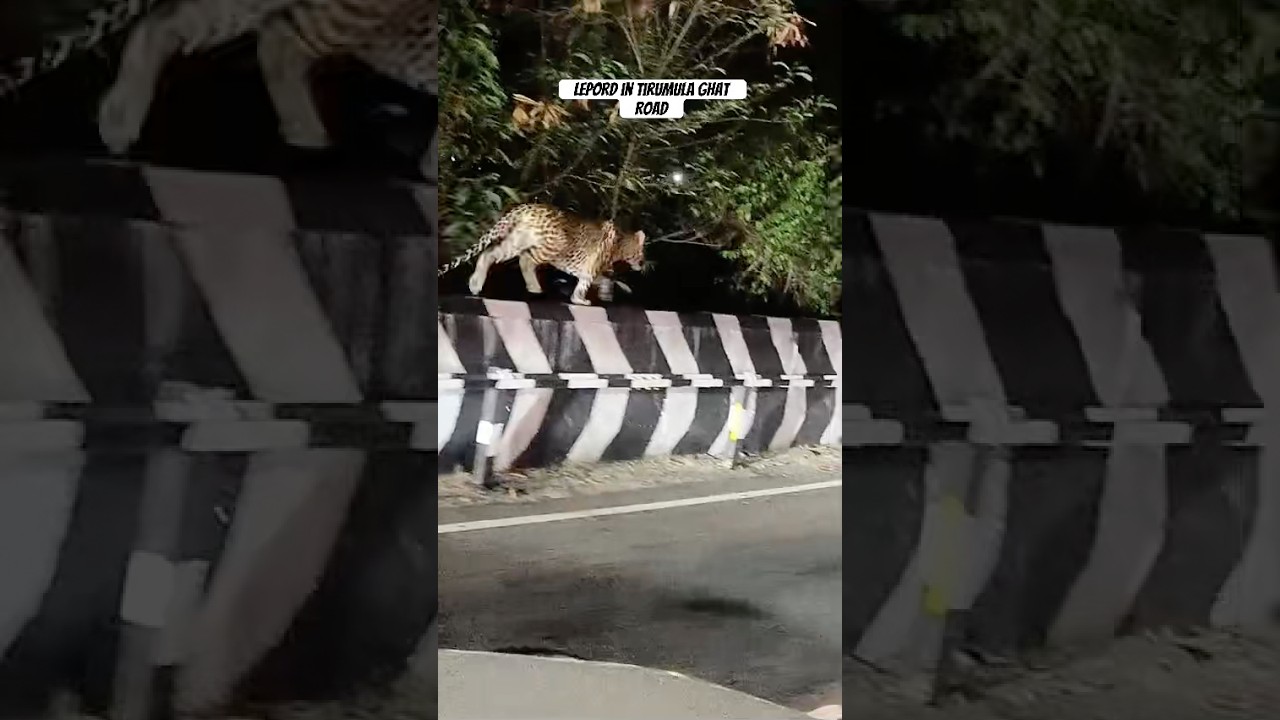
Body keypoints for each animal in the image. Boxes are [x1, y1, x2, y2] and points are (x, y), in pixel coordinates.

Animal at [439, 203, 646, 306]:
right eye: (642, 253)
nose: (643, 263)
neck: (621, 244)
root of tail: (525, 207)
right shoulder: (593, 267)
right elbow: (589, 282)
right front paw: (580, 300)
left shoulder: (594, 269)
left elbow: (605, 279)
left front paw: (601, 294)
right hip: (551, 246)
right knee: (525, 261)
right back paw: (534, 287)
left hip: (515, 241)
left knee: (489, 253)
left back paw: (475, 284)